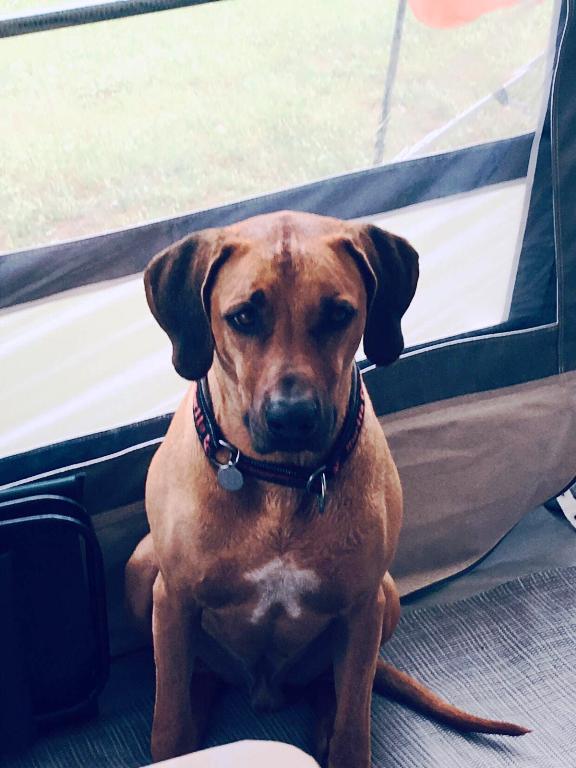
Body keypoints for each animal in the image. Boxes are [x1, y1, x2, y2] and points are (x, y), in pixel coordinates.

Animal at [126, 210, 529, 768]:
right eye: (243, 318)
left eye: (339, 314)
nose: (292, 418)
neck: (283, 479)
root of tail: (265, 689)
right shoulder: (174, 599)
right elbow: (169, 719)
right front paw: (176, 740)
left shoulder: (361, 611)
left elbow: (354, 720)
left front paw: (343, 738)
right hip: (141, 567)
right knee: (195, 677)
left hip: (386, 596)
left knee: (330, 687)